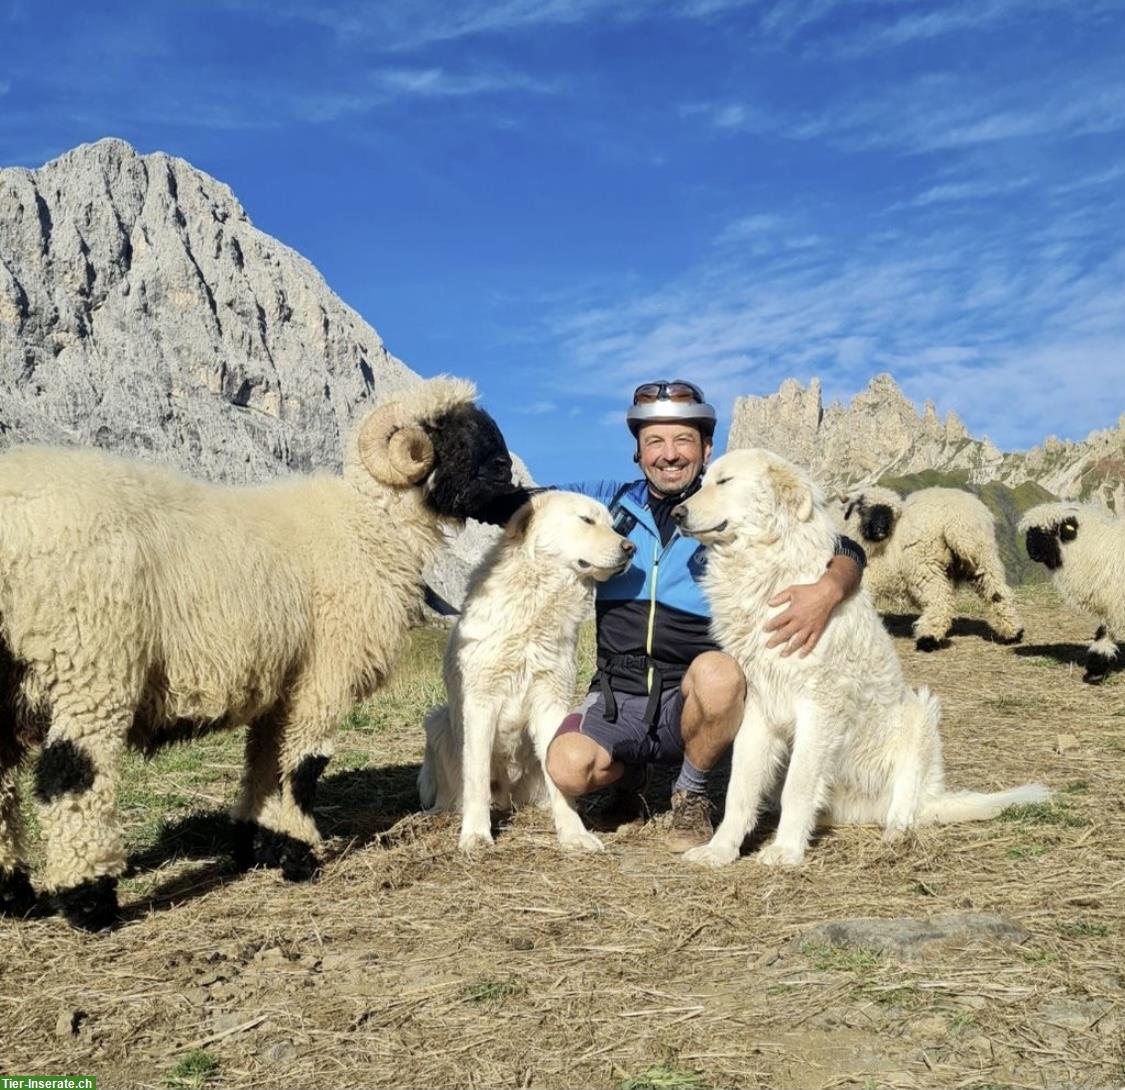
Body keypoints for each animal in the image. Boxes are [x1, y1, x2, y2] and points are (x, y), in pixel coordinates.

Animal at [0, 375, 526, 926]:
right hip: (91, 661)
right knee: (72, 772)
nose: (506, 470)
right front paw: (299, 855)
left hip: (13, 677)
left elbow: (266, 760)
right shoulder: (323, 676)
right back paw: (89, 900)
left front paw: (260, 845)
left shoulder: (282, 683)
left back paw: (15, 897)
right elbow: (303, 767)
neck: (369, 524)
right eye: (445, 431)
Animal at [420, 488, 639, 854]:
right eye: (586, 520)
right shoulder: (481, 701)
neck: (536, 609)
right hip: (438, 722)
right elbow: (476, 776)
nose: (630, 548)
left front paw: (573, 833)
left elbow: (559, 777)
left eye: (613, 524)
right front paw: (476, 834)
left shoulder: (550, 702)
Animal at [837, 488, 1030, 652]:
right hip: (983, 558)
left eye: (890, 512)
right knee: (998, 594)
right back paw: (1014, 633)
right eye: (863, 508)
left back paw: (928, 638)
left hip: (924, 565)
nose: (881, 530)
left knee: (940, 601)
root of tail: (960, 520)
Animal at [1021, 499, 1125, 679]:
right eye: (1030, 533)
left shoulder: (1116, 601)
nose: (1032, 553)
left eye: (1049, 532)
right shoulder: (1113, 603)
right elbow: (1104, 633)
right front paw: (1095, 670)